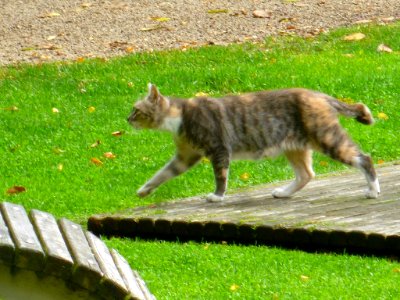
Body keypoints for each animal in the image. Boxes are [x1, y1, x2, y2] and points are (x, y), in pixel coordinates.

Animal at [128, 83, 382, 203]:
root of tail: (319, 94)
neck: (180, 117)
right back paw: (284, 193)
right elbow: (163, 173)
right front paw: (144, 190)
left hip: (326, 137)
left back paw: (373, 190)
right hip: (294, 146)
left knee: (364, 159)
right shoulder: (185, 156)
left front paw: (217, 196)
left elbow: (221, 176)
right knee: (306, 174)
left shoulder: (219, 149)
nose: (127, 119)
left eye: (136, 110)